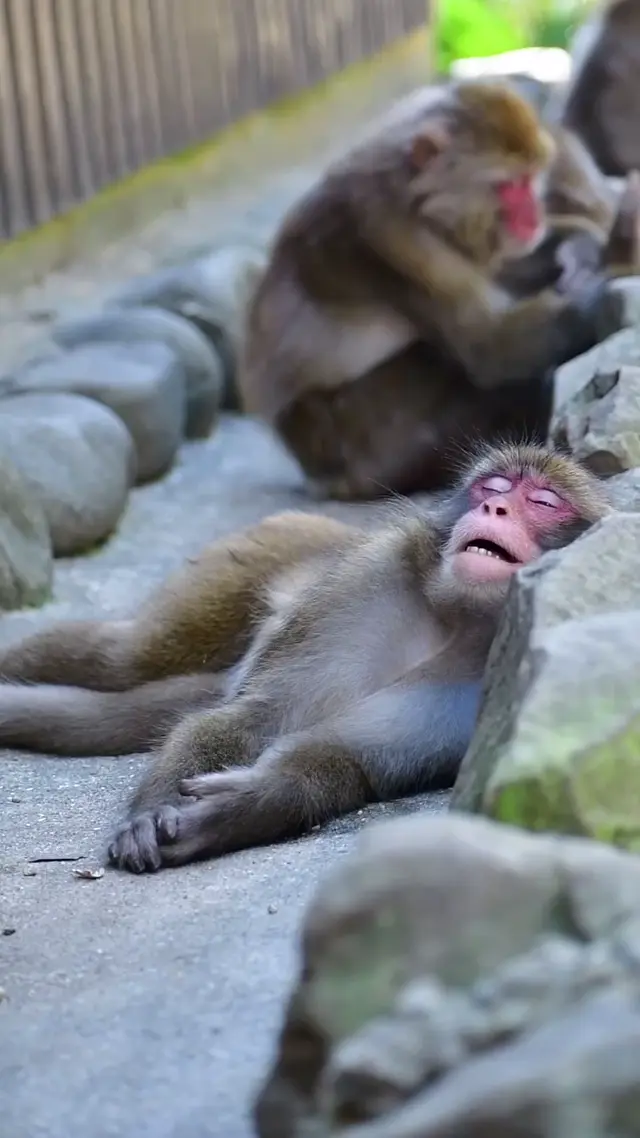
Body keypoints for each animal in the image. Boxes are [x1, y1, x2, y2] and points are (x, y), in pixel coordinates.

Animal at [237, 80, 624, 503]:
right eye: (509, 186)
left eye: (530, 179)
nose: (534, 217)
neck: (419, 201)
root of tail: (317, 473)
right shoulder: (393, 236)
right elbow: (490, 347)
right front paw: (606, 301)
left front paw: (578, 248)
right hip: (369, 441)